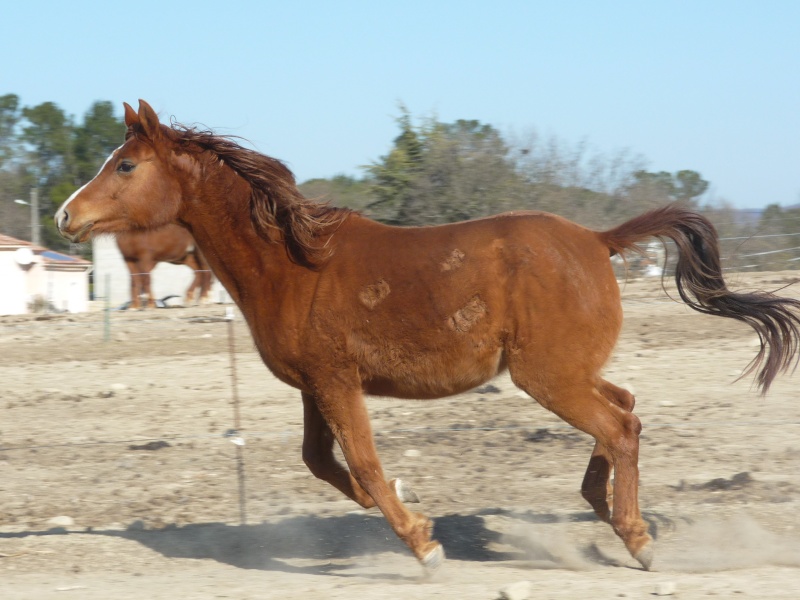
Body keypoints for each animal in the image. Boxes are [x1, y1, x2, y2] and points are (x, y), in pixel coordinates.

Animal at [54, 101, 800, 576]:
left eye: (125, 166)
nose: (66, 215)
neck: (293, 263)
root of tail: (597, 239)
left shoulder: (336, 383)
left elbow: (363, 463)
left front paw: (423, 545)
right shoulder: (315, 386)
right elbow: (324, 463)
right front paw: (409, 511)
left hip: (548, 376)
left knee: (619, 426)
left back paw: (638, 540)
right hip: (568, 371)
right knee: (626, 410)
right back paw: (608, 511)